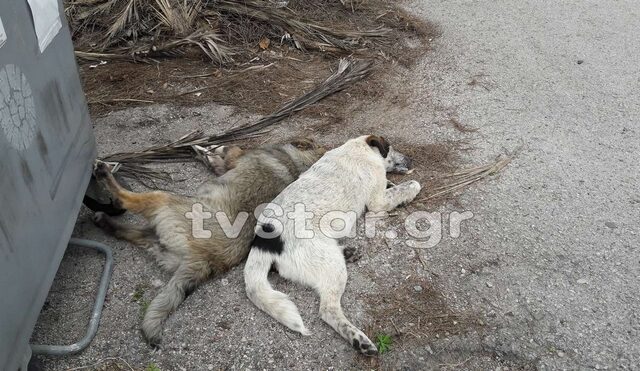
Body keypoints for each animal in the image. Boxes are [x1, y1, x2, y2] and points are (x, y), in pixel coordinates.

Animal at [244, 136, 420, 354]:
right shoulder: (378, 200)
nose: (410, 159)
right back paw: (358, 339)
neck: (359, 149)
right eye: (392, 148)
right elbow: (412, 184)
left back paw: (349, 252)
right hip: (331, 266)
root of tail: (264, 240)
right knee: (328, 310)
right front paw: (409, 192)